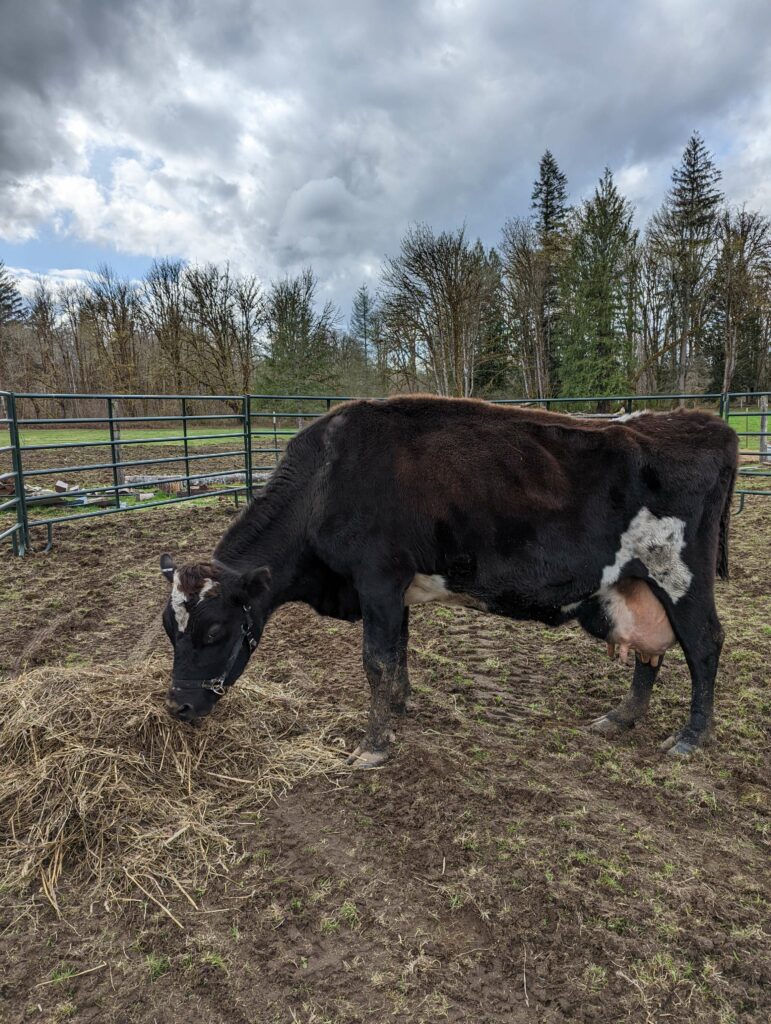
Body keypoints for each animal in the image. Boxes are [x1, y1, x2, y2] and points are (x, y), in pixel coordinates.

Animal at [159, 399, 737, 770]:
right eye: (169, 628)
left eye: (215, 631)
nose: (177, 708)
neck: (325, 481)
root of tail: (700, 422)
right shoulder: (396, 589)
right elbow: (399, 649)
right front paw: (399, 707)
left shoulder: (377, 578)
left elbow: (376, 660)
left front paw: (373, 745)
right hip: (639, 584)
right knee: (649, 650)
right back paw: (623, 716)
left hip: (679, 574)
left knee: (704, 643)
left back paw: (691, 737)